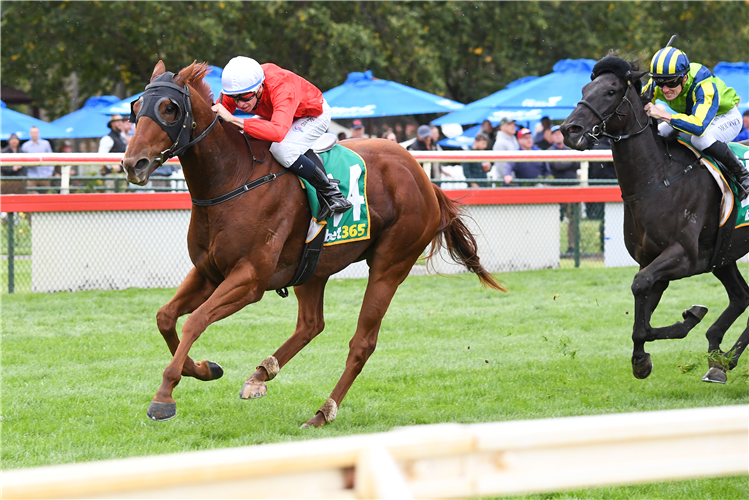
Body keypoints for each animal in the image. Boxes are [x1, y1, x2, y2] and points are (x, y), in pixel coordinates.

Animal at [121, 62, 502, 428]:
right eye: (136, 107)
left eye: (169, 109)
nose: (133, 164)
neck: (233, 178)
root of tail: (423, 178)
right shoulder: (208, 272)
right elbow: (166, 317)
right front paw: (202, 368)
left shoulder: (249, 279)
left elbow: (195, 321)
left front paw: (164, 397)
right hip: (313, 267)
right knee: (311, 324)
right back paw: (261, 375)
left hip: (390, 264)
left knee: (362, 342)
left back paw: (322, 412)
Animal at [560, 54, 748, 382]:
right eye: (585, 88)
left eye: (610, 91)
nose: (569, 129)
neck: (657, 180)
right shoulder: (652, 260)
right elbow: (643, 312)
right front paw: (641, 359)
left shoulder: (683, 257)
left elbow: (640, 287)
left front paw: (689, 318)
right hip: (724, 255)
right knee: (741, 297)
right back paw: (720, 360)